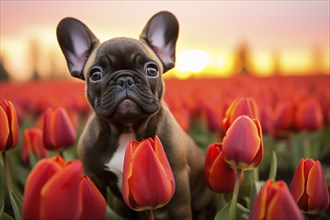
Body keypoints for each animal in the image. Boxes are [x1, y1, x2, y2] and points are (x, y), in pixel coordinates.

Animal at [56, 10, 215, 220]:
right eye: (95, 74)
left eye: (152, 70)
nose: (125, 79)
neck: (127, 129)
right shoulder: (93, 177)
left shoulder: (178, 178)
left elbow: (179, 211)